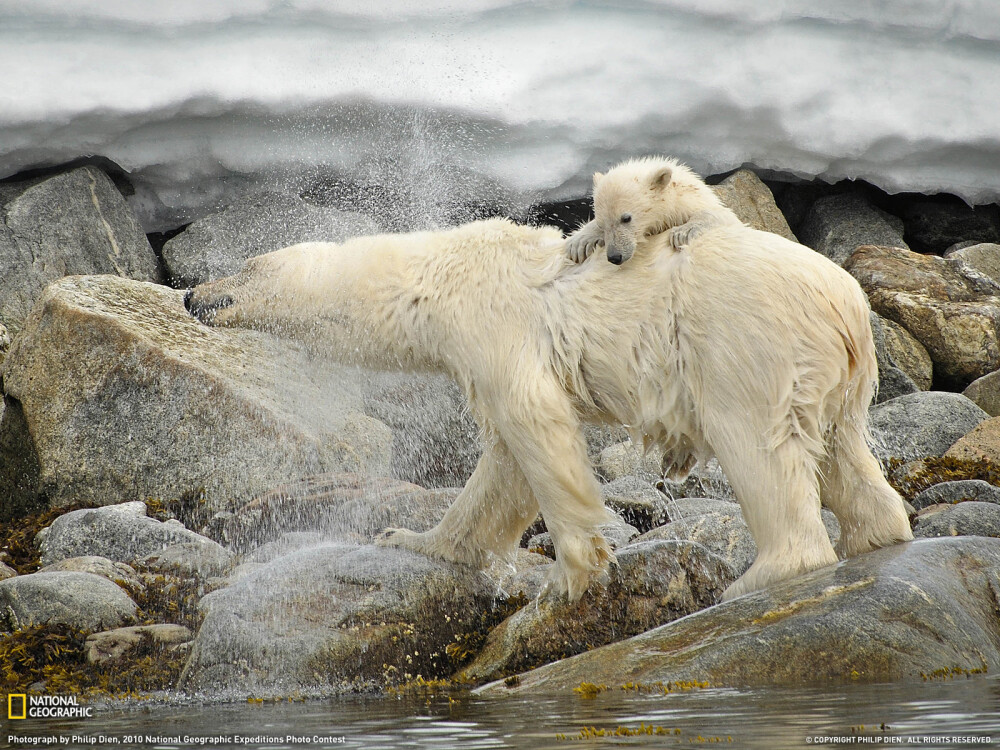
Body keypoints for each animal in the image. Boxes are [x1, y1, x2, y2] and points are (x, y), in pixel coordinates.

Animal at [186, 160, 916, 604]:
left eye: (245, 266)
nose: (192, 295)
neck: (439, 274)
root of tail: (847, 304)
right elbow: (502, 470)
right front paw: (414, 540)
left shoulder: (493, 326)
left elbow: (536, 428)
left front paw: (571, 573)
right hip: (833, 374)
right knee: (841, 449)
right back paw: (877, 534)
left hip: (746, 345)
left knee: (758, 446)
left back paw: (760, 574)